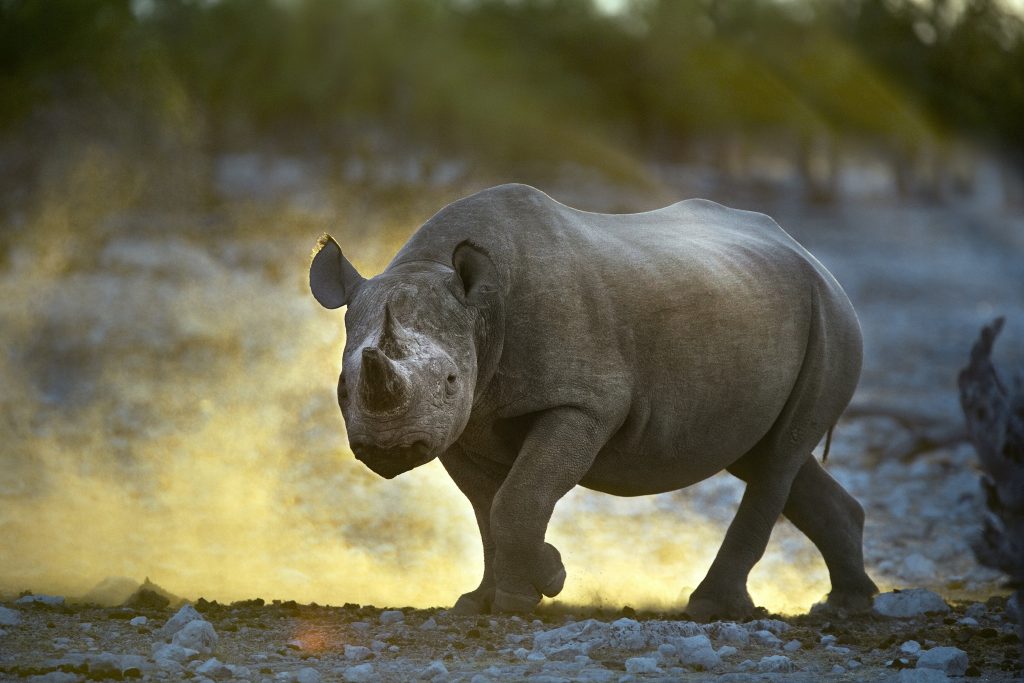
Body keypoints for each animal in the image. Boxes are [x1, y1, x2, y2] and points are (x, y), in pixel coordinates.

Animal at [309, 183, 877, 618]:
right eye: (342, 387)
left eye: (450, 379)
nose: (388, 448)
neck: (474, 307)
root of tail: (808, 254)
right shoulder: (460, 424)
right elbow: (486, 506)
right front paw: (484, 601)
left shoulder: (585, 403)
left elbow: (518, 497)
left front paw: (540, 585)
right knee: (762, 453)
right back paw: (848, 604)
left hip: (831, 315)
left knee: (779, 456)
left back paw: (712, 609)